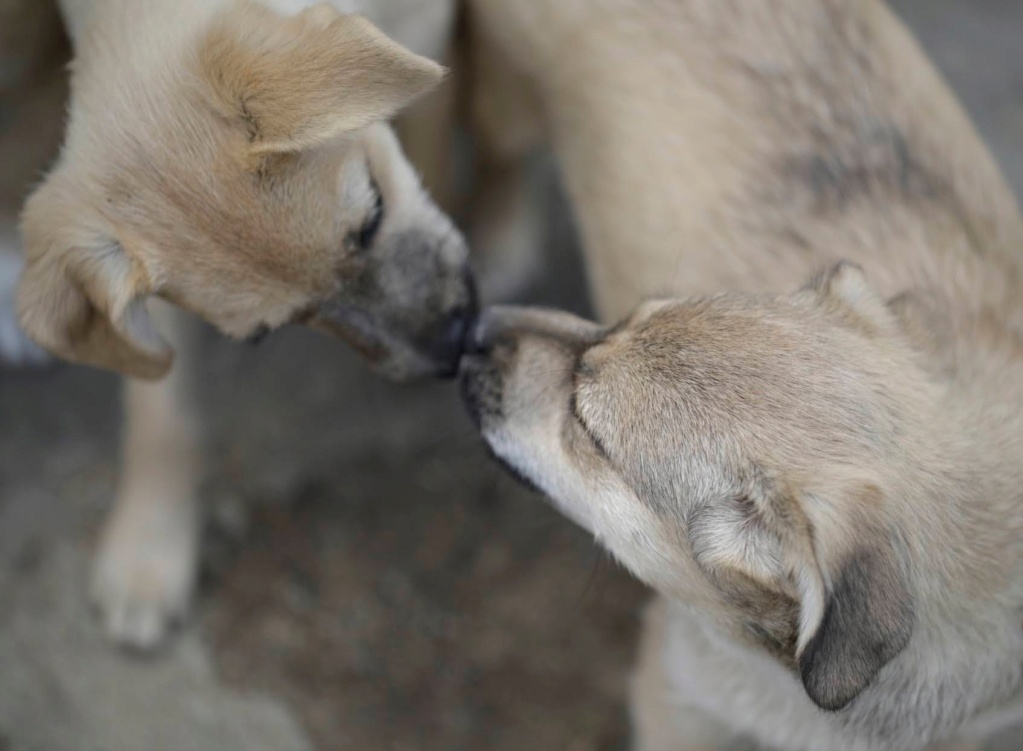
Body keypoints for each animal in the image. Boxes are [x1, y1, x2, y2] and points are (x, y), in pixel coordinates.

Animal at [15, 0, 468, 646]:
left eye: (373, 216)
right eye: (267, 333)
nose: (452, 350)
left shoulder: (431, 30)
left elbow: (433, 143)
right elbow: (161, 418)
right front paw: (147, 555)